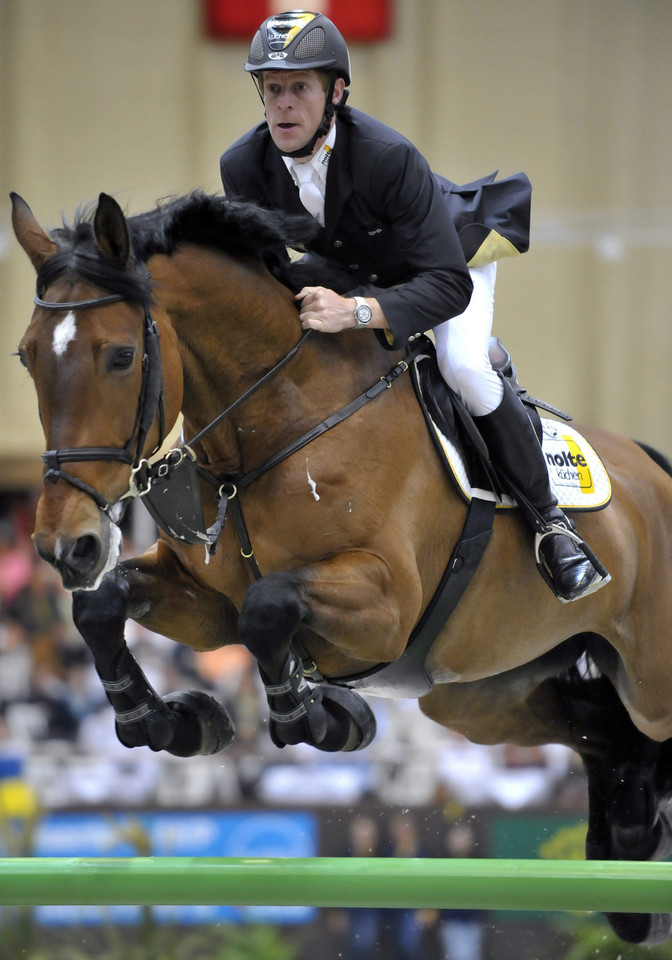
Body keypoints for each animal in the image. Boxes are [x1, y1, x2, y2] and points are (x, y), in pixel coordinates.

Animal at [9, 189, 672, 944]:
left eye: (120, 356)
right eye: (27, 357)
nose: (68, 547)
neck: (279, 421)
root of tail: (652, 469)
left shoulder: (384, 605)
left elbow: (270, 606)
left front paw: (319, 716)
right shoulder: (206, 606)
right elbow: (104, 605)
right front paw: (171, 721)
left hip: (649, 678)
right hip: (482, 692)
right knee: (604, 734)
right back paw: (630, 849)